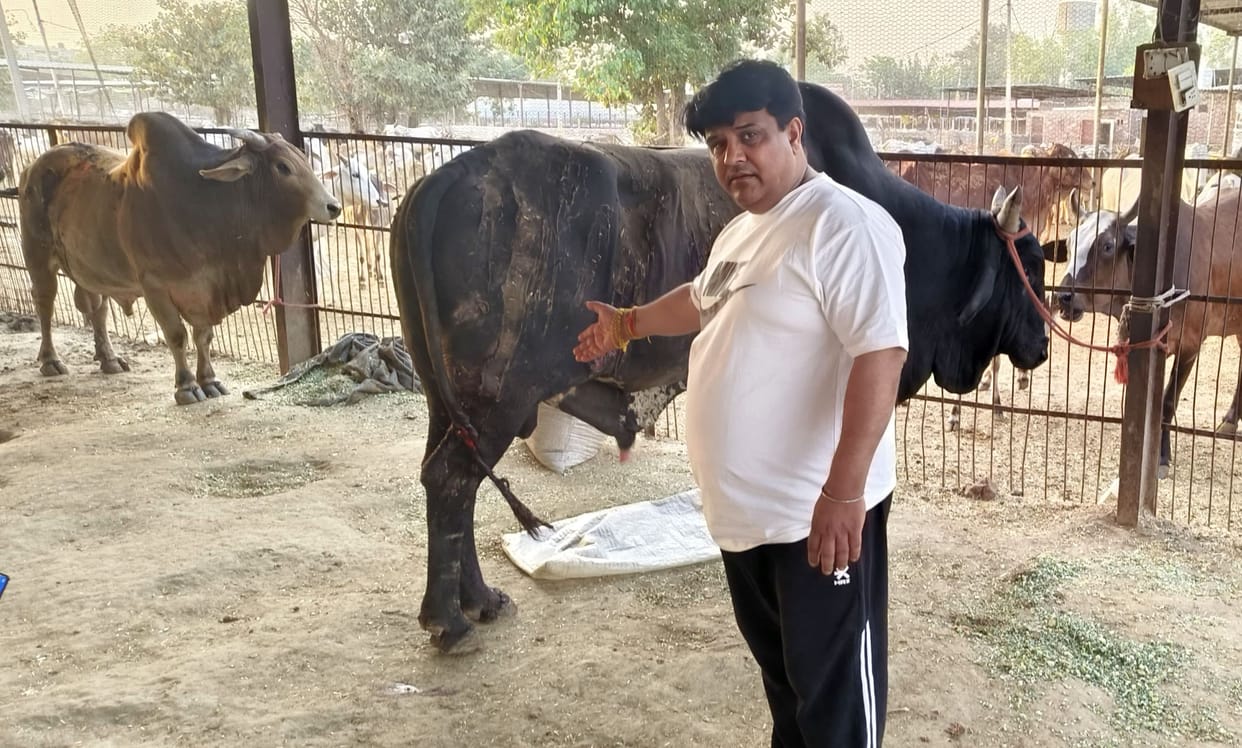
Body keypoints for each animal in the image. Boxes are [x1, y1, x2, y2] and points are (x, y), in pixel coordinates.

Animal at [14, 111, 342, 404]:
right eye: (282, 167)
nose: (333, 206)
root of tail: (32, 166)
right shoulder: (155, 286)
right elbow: (177, 335)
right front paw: (186, 386)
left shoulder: (205, 286)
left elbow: (203, 336)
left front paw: (209, 380)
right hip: (37, 257)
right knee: (44, 304)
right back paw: (50, 360)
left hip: (92, 269)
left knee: (97, 309)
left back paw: (108, 358)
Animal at [390, 81, 1051, 654]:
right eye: (1032, 266)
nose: (1043, 345)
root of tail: (438, 184)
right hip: (497, 398)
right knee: (452, 482)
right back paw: (451, 619)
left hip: (446, 399)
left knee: (444, 481)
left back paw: (473, 600)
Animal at [1055, 185, 1242, 477]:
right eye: (1070, 242)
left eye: (1107, 245)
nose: (1063, 296)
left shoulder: (1190, 345)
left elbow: (1166, 402)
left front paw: (1161, 457)